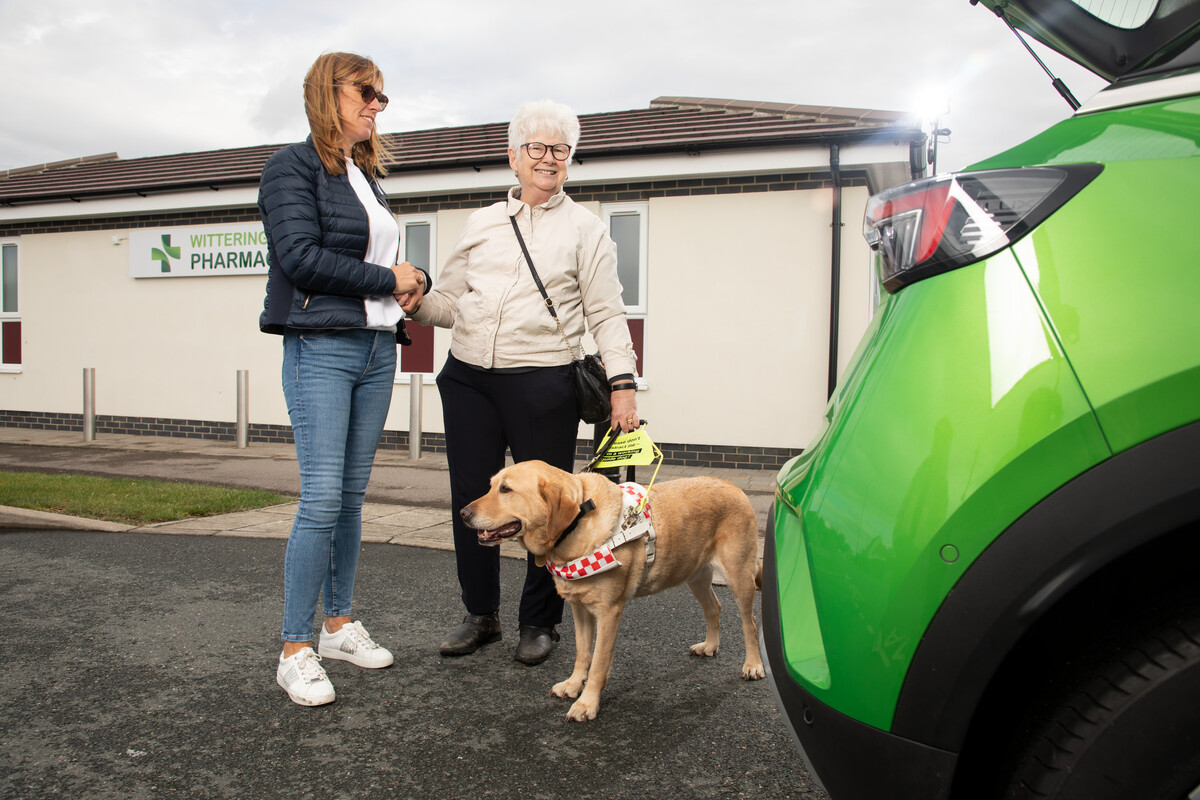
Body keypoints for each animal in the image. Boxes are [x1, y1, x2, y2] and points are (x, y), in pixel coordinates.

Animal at [458, 460, 758, 724]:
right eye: (491, 486)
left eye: (506, 489)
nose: (463, 513)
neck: (577, 522)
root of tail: (733, 486)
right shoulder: (579, 608)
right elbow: (583, 654)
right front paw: (573, 685)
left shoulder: (609, 612)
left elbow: (599, 663)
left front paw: (587, 703)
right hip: (694, 574)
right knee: (714, 608)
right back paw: (710, 646)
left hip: (740, 575)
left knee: (750, 623)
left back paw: (753, 665)